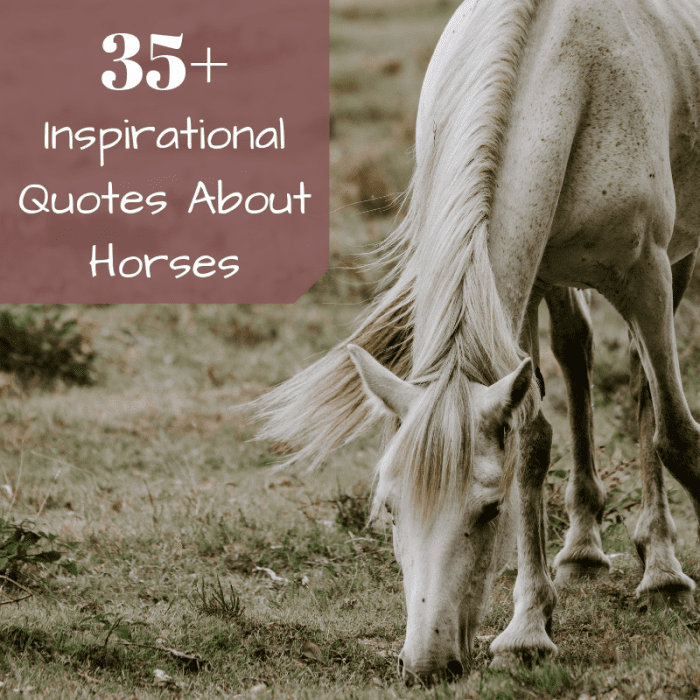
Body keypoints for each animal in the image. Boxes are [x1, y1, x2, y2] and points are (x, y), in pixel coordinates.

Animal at [252, 0, 700, 682]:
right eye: (389, 508)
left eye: (488, 511)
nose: (425, 663)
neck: (573, 71)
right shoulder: (519, 283)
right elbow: (533, 442)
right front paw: (527, 629)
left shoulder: (647, 272)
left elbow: (676, 435)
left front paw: (666, 578)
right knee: (576, 353)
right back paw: (583, 547)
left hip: (676, 261)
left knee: (645, 390)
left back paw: (659, 565)